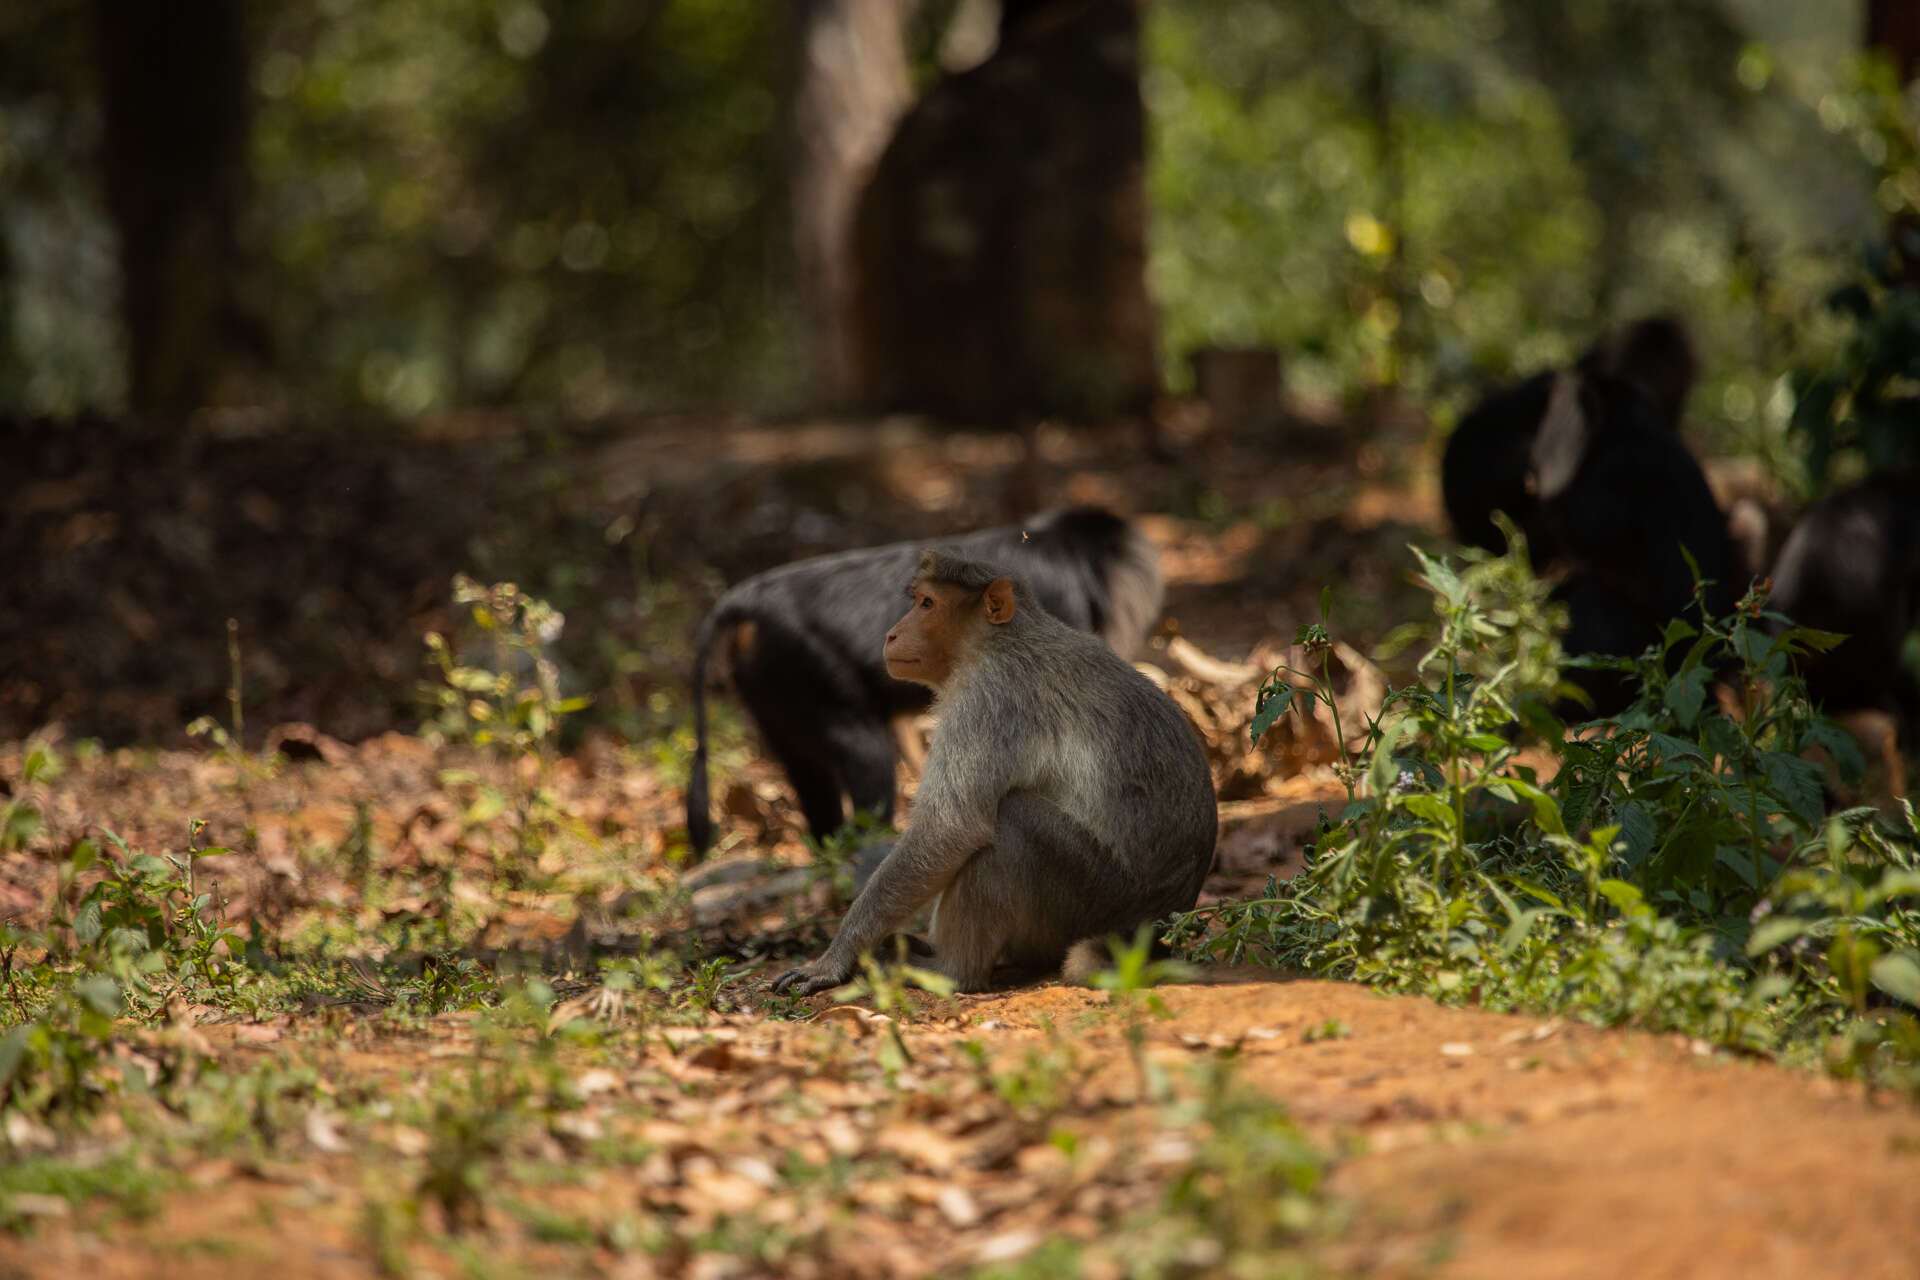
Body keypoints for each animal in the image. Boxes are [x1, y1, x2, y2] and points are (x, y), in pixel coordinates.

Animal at [764, 545, 1213, 997]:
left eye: (927, 604)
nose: (891, 634)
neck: (998, 641)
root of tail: (1154, 929)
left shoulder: (989, 699)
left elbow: (951, 827)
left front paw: (833, 959)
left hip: (1093, 900)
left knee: (1010, 822)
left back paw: (953, 971)